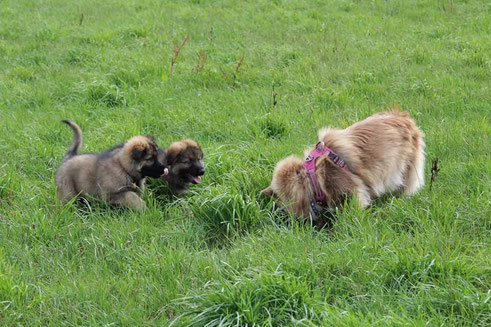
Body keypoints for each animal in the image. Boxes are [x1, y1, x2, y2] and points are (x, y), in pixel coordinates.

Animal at [262, 111, 426, 227]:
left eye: (282, 205)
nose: (286, 220)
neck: (312, 178)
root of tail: (406, 118)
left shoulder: (349, 192)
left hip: (406, 169)